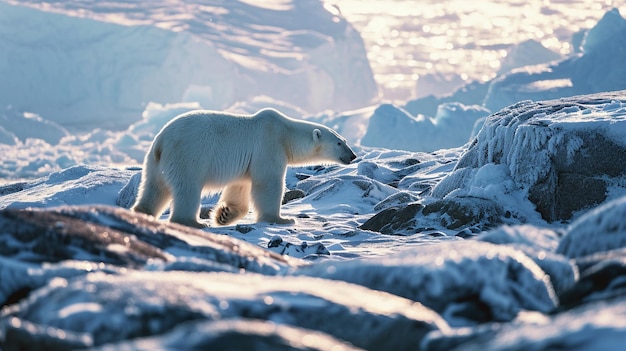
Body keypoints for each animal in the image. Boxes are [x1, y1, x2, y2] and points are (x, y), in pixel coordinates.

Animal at [132, 108, 356, 228]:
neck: (286, 133)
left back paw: (142, 212)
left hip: (154, 163)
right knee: (187, 188)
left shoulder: (247, 162)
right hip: (188, 155)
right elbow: (268, 183)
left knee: (154, 187)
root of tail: (161, 141)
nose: (352, 156)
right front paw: (282, 219)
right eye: (339, 143)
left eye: (344, 140)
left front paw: (224, 215)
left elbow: (239, 187)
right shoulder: (268, 145)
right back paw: (192, 222)